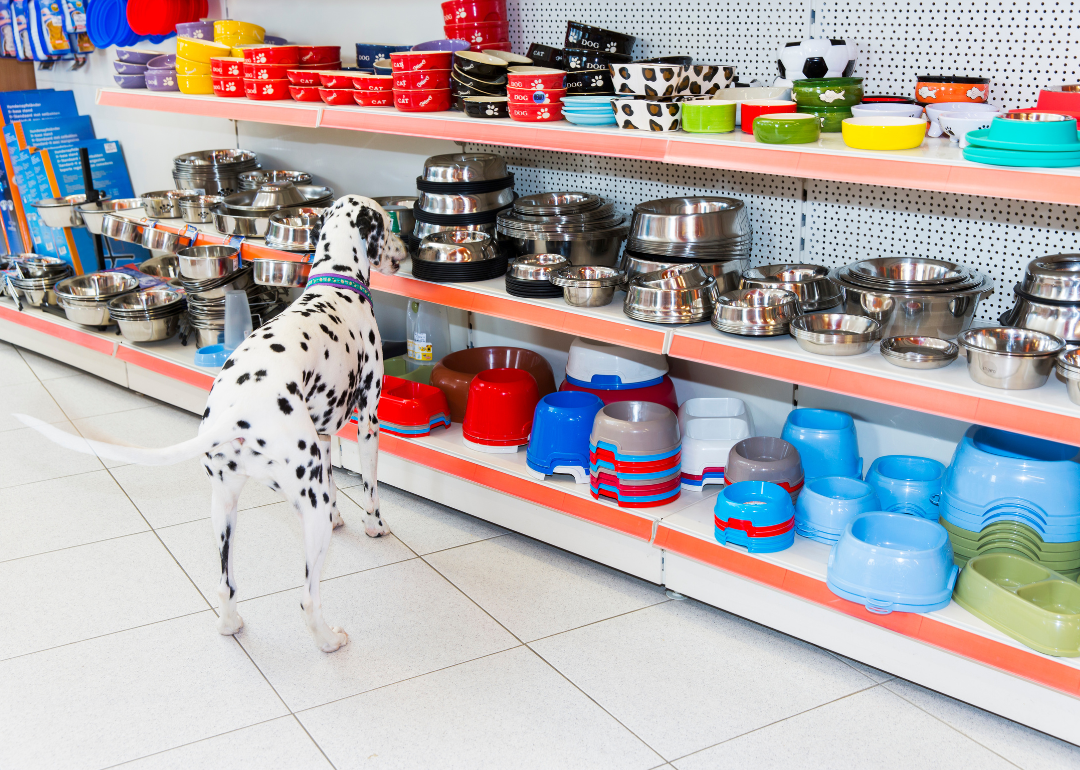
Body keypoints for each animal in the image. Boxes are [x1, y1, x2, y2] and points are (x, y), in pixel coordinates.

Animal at [21, 193, 408, 647]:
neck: (336, 281)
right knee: (306, 598)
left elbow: (334, 479)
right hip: (304, 509)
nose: (405, 248)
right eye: (387, 223)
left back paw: (230, 623)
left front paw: (342, 516)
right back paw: (329, 640)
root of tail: (238, 413)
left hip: (223, 505)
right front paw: (375, 525)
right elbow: (371, 489)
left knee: (225, 584)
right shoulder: (368, 422)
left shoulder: (325, 433)